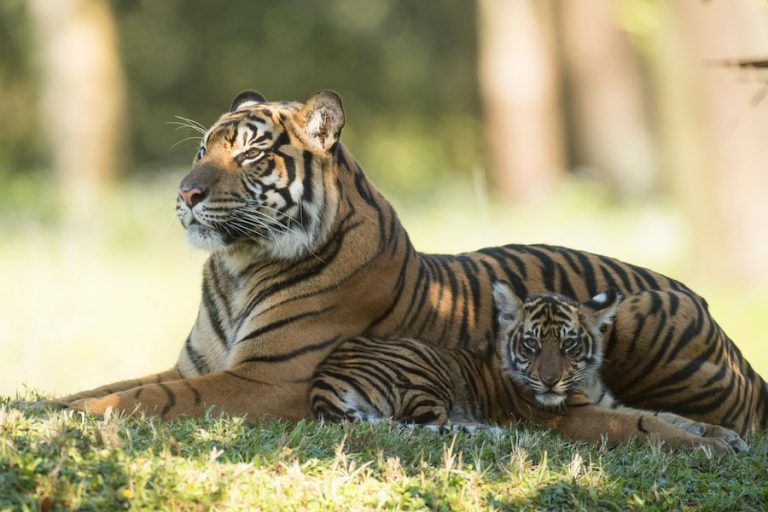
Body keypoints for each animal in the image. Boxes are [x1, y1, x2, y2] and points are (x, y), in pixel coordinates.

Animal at [60, 90, 768, 434]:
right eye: (204, 148)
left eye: (252, 154)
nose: (185, 194)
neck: (236, 267)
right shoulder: (202, 365)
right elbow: (110, 386)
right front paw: (54, 403)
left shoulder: (267, 380)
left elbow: (148, 397)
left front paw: (64, 417)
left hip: (648, 316)